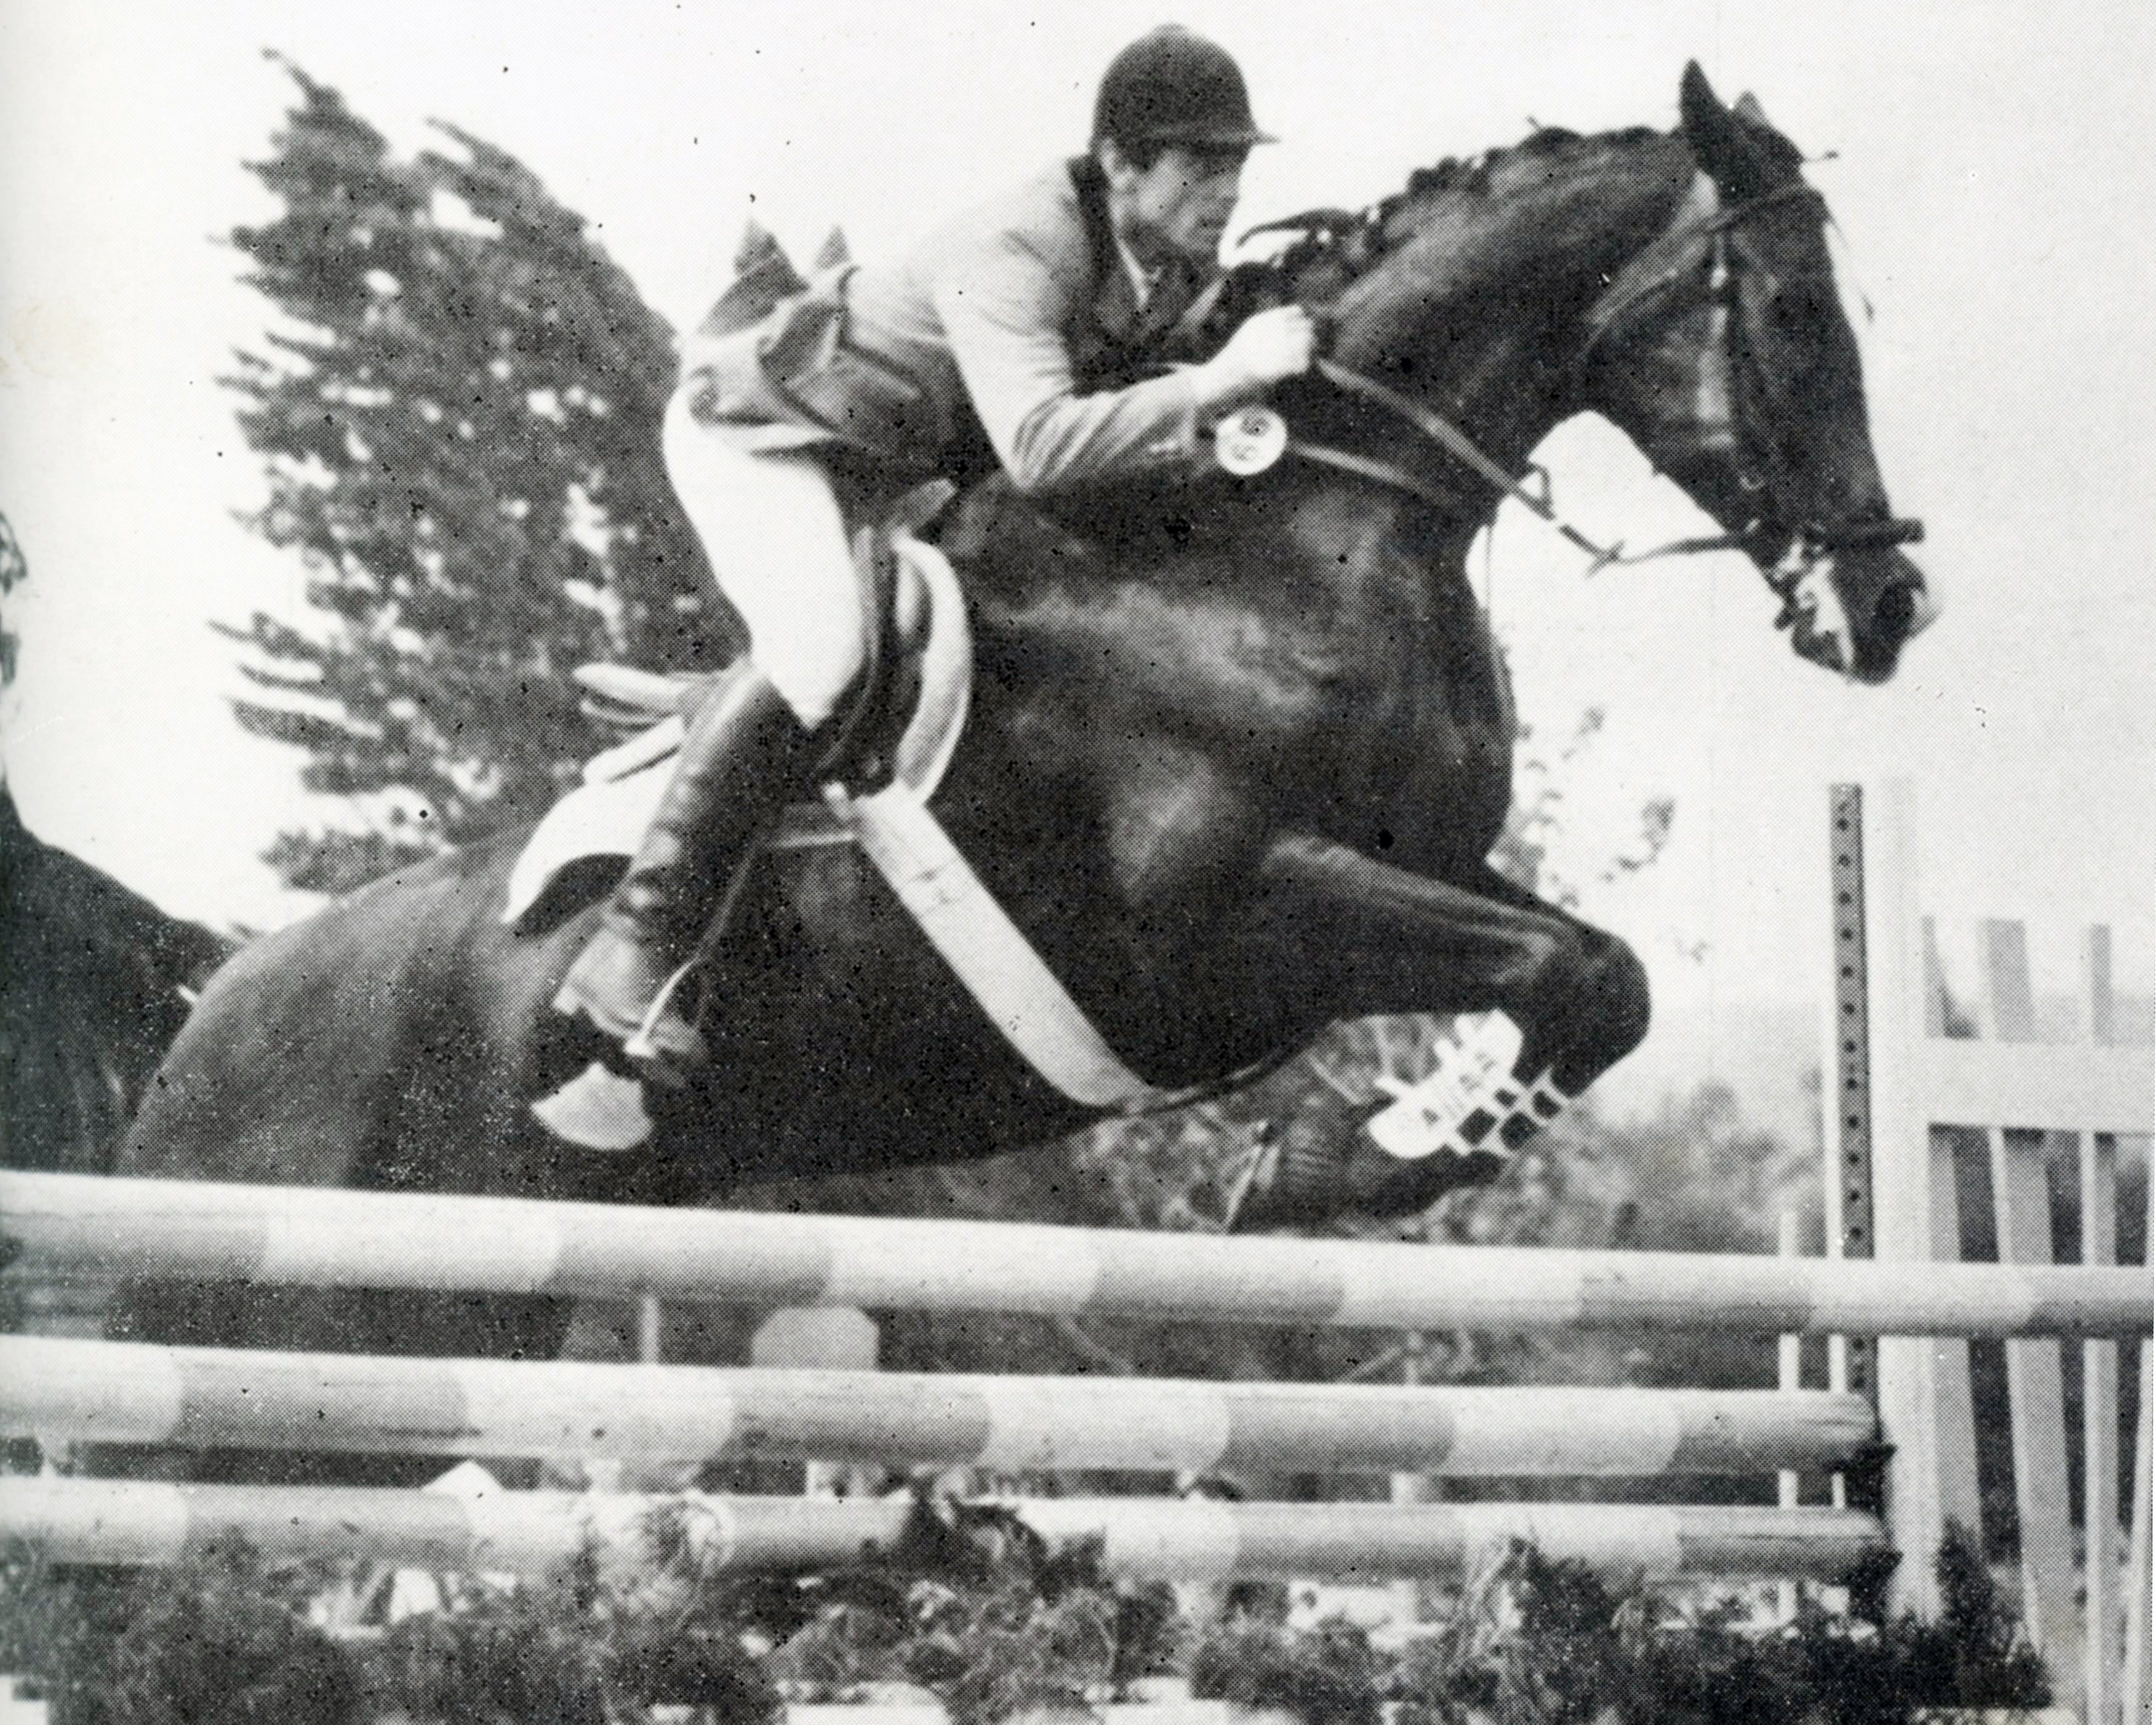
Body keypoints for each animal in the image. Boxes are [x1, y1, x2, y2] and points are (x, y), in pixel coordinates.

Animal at [113, 67, 1940, 1389]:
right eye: (1790, 316)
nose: (1884, 608)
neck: (1283, 530)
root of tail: (205, 1012)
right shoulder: (1227, 913)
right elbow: (1575, 973)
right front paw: (1338, 1162)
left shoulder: (1419, 868)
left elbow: (1594, 979)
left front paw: (1361, 1152)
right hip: (292, 1314)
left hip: (438, 1319)